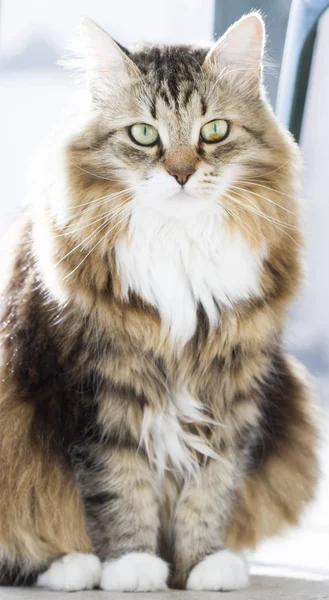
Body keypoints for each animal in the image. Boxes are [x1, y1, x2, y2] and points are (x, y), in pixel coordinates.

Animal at [0, 12, 318, 592]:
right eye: (144, 135)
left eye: (214, 131)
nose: (182, 173)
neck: (179, 242)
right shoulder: (100, 386)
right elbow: (120, 486)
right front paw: (133, 565)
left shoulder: (233, 383)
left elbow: (212, 484)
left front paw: (202, 564)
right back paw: (71, 567)